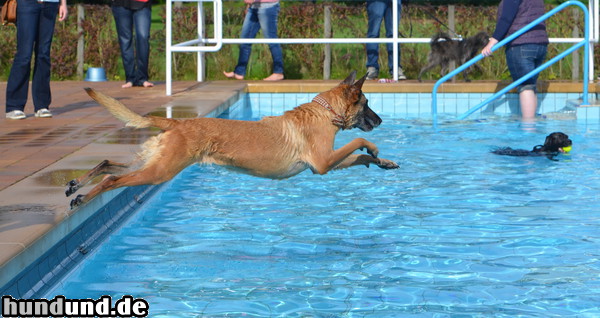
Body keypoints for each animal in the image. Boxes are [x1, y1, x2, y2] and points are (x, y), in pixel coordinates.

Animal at [67, 71, 398, 209]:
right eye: (367, 103)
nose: (381, 121)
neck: (324, 112)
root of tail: (179, 121)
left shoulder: (325, 164)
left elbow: (358, 156)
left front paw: (383, 161)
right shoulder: (323, 162)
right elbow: (357, 143)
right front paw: (375, 148)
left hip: (151, 162)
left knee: (107, 163)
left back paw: (76, 185)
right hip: (159, 171)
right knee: (111, 178)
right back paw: (84, 195)